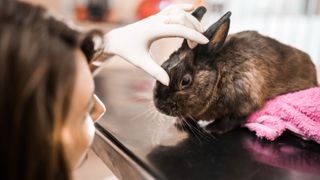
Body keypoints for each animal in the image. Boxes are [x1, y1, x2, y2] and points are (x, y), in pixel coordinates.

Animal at [153, 6, 318, 134]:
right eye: (163, 65)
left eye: (185, 81)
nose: (159, 104)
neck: (219, 75)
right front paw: (180, 122)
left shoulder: (245, 101)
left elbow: (232, 119)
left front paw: (211, 128)